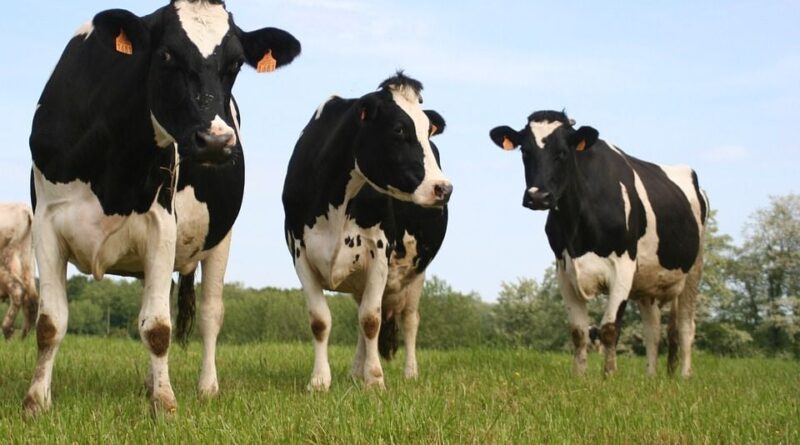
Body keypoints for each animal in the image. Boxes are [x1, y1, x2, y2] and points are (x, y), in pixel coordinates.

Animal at [0, 203, 38, 340]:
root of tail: (25, 209)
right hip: (28, 257)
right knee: (32, 296)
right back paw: (23, 337)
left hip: (7, 257)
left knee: (17, 289)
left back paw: (7, 330)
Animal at [24, 0, 300, 415]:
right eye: (167, 54)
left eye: (236, 63)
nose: (216, 141)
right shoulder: (46, 223)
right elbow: (50, 323)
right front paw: (36, 401)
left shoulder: (161, 223)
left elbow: (157, 327)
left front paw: (165, 403)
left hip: (221, 238)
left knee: (210, 314)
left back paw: (206, 387)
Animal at [282, 72, 452, 391]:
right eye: (399, 129)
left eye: (428, 130)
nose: (443, 188)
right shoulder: (300, 252)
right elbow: (320, 321)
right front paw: (320, 381)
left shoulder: (380, 253)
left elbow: (371, 320)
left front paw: (375, 380)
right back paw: (355, 372)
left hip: (417, 273)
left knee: (409, 321)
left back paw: (409, 373)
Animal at [490, 110, 707, 377]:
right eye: (525, 151)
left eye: (563, 152)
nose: (537, 197)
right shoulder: (564, 270)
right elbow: (578, 331)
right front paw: (579, 376)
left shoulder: (623, 266)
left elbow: (609, 329)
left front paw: (609, 376)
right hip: (648, 282)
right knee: (653, 330)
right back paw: (651, 377)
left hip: (694, 269)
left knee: (686, 326)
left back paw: (685, 376)